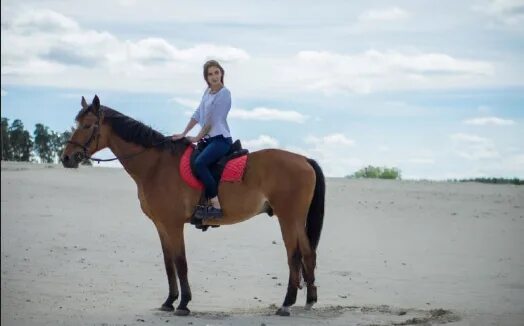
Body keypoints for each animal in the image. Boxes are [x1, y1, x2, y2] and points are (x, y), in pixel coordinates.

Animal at [61, 94, 324, 316]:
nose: (66, 158)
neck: (156, 166)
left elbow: (181, 262)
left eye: (87, 126)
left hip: (288, 217)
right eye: (77, 123)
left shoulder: (174, 224)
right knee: (308, 253)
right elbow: (169, 263)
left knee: (294, 255)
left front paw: (184, 304)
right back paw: (310, 301)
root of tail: (304, 159)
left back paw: (286, 304)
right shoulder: (161, 225)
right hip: (296, 219)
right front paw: (169, 301)